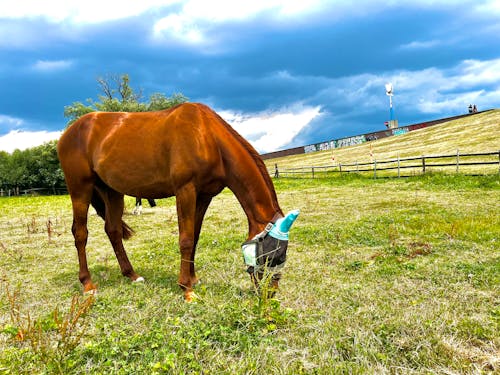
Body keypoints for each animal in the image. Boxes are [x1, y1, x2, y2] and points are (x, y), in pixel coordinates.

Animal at [56, 103, 290, 302]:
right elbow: (186, 239)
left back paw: (132, 274)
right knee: (80, 233)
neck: (207, 136)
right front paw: (187, 289)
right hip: (80, 190)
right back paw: (88, 284)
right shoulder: (185, 191)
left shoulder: (204, 196)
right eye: (272, 256)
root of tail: (69, 132)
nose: (269, 294)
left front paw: (193, 279)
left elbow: (195, 236)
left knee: (112, 230)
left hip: (112, 192)